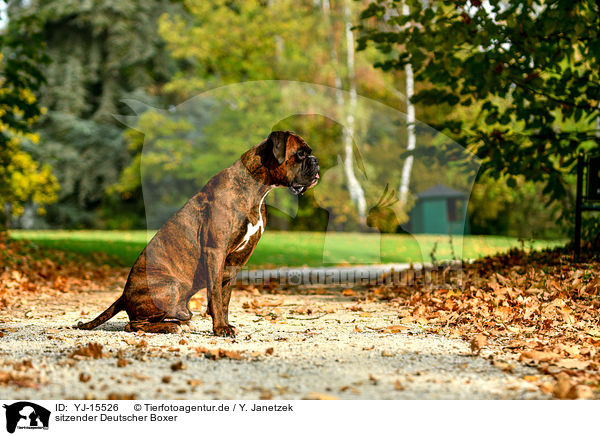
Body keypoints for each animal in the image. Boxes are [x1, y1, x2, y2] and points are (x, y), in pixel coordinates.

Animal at [78, 132, 318, 338]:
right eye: (300, 154)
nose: (316, 161)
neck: (256, 187)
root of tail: (123, 295)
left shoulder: (234, 261)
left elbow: (224, 298)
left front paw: (224, 324)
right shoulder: (216, 251)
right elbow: (216, 295)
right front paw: (221, 328)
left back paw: (179, 323)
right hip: (170, 286)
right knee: (133, 324)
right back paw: (172, 327)